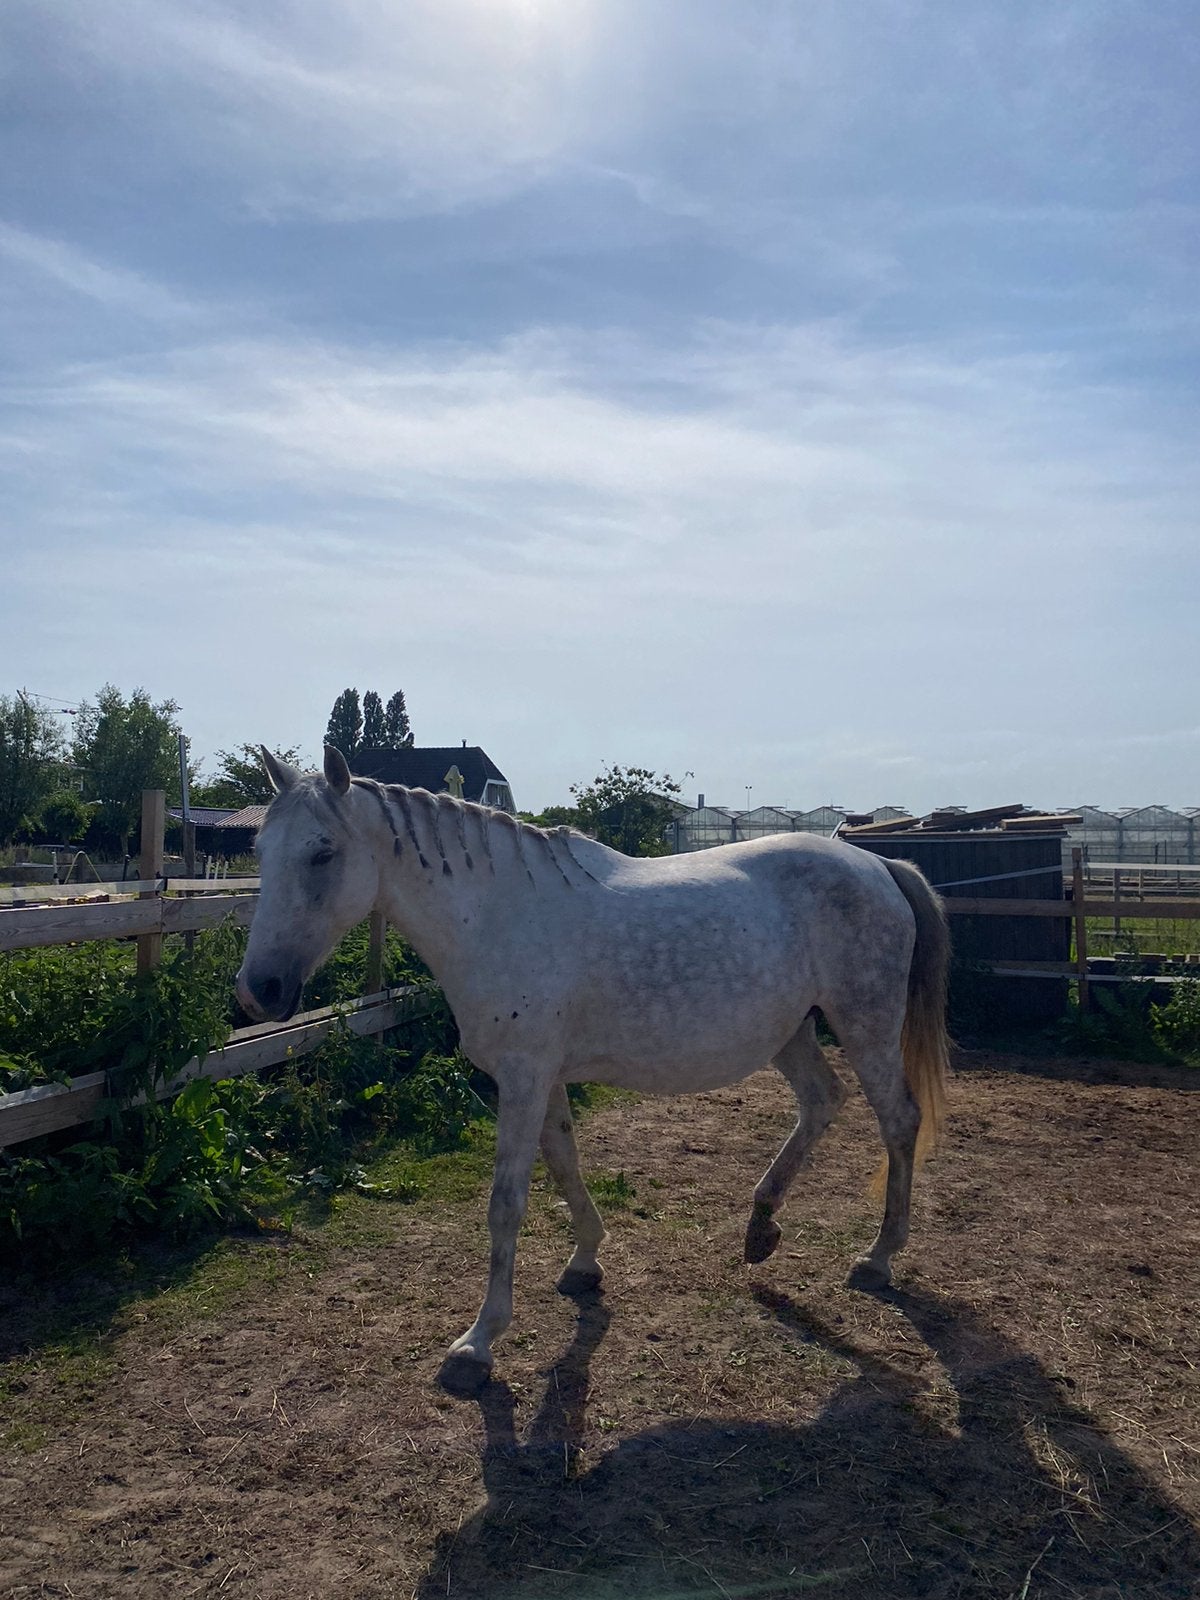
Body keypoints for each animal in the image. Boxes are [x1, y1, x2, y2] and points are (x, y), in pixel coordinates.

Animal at [236, 746, 950, 1390]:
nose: (259, 991)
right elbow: (564, 1164)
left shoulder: (522, 1077)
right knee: (822, 1101)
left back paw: (878, 1258)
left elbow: (506, 1203)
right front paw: (585, 1261)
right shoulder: (542, 1076)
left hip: (864, 1023)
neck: (497, 916)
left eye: (322, 853)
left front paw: (478, 1344)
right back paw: (761, 1223)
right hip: (792, 1031)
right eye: (260, 850)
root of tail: (879, 865)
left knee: (898, 1120)